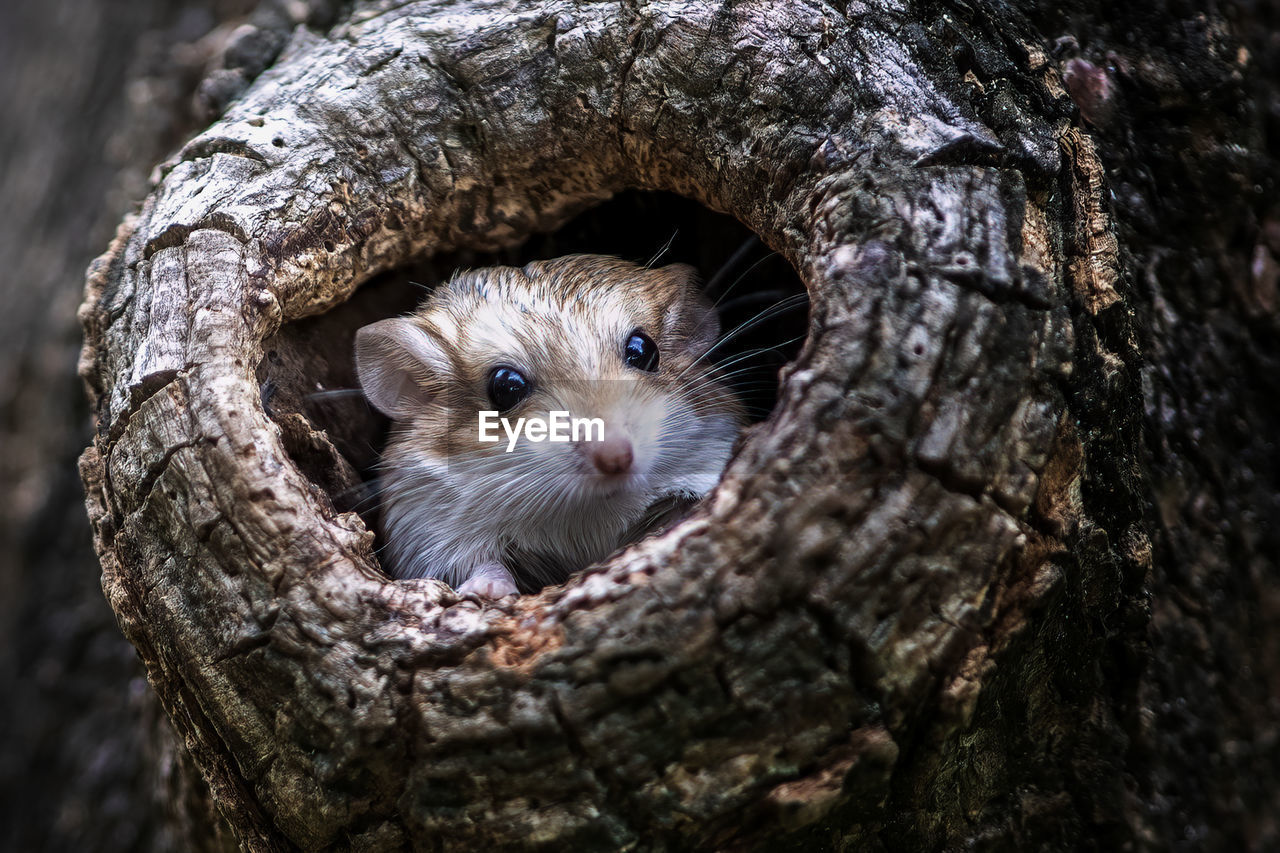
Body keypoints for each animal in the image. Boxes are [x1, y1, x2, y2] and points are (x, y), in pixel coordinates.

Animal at [355, 253, 747, 596]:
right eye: (505, 386)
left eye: (643, 350)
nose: (616, 459)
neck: (591, 512)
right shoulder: (427, 530)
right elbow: (481, 564)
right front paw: (486, 591)